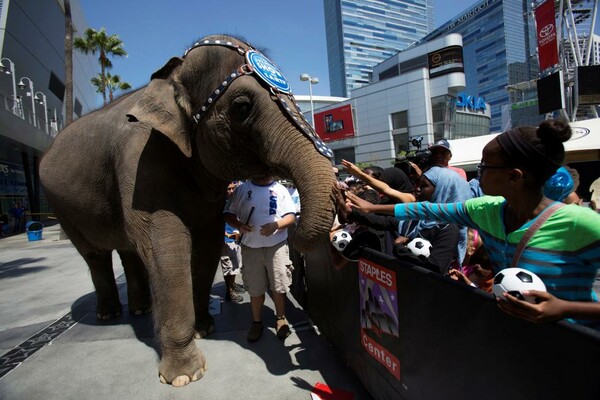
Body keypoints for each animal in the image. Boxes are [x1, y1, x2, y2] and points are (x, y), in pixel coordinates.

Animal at [39, 35, 336, 388]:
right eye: (242, 108)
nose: (290, 227)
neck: (172, 74)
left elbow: (207, 241)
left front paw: (205, 328)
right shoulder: (138, 162)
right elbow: (167, 247)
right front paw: (185, 375)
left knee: (128, 251)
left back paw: (139, 310)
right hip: (61, 207)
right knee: (95, 255)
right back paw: (109, 314)